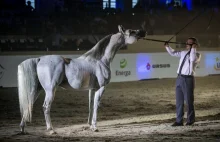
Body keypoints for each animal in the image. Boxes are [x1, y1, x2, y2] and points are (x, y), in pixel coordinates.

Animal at [17, 25, 146, 134]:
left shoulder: (92, 89)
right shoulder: (101, 88)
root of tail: (39, 59)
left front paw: (89, 125)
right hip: (50, 90)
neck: (100, 60)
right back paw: (51, 129)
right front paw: (95, 127)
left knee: (28, 105)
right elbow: (96, 106)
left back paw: (23, 129)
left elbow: (91, 106)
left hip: (37, 89)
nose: (143, 31)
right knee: (45, 107)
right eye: (131, 31)